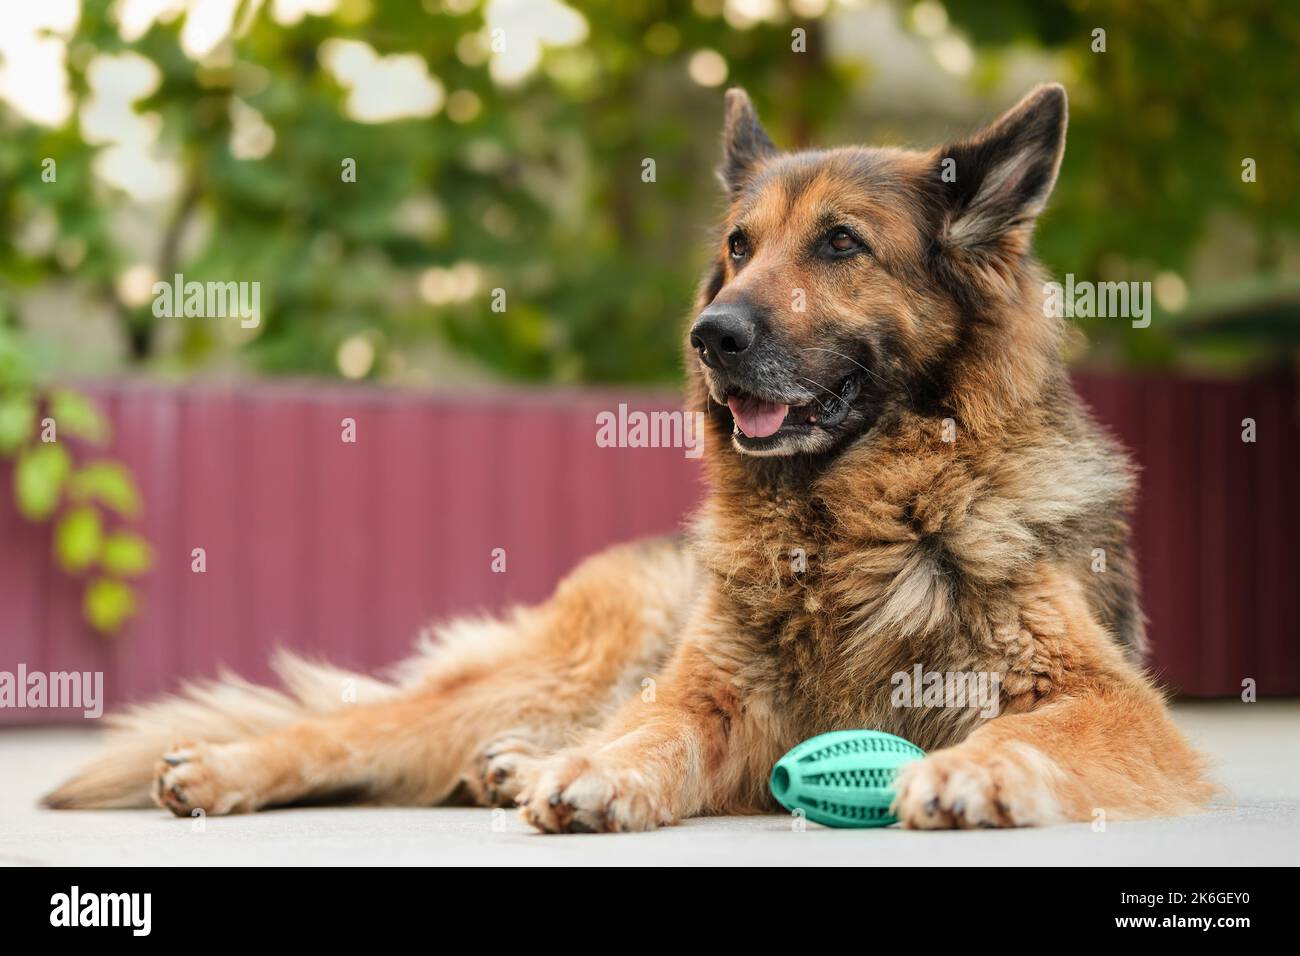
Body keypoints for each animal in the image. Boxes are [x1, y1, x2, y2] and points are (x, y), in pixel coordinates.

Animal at [45, 87, 1211, 832]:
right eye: (739, 246)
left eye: (841, 244)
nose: (712, 336)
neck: (854, 517)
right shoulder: (713, 691)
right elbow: (656, 732)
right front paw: (602, 777)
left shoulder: (1108, 701)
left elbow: (1039, 732)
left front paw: (978, 774)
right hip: (575, 664)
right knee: (363, 728)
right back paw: (239, 767)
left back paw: (511, 765)